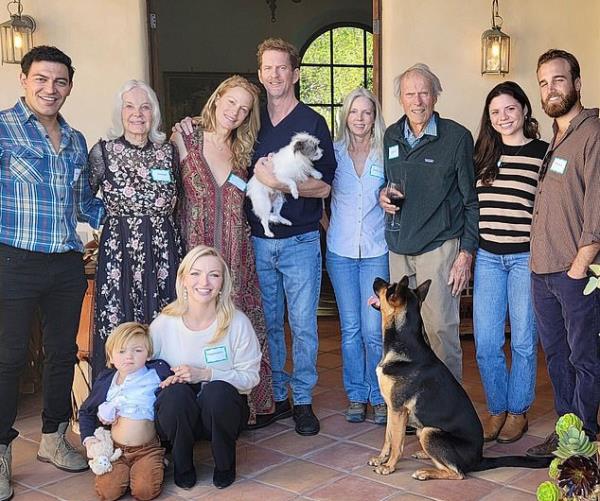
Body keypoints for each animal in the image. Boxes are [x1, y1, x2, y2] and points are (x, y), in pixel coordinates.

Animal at [368, 276, 552, 478]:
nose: (376, 278)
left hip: (429, 432)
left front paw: (389, 466)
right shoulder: (392, 408)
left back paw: (425, 472)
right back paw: (424, 455)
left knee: (457, 472)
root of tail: (479, 459)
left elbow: (396, 443)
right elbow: (388, 438)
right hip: (422, 429)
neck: (405, 344)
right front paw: (381, 459)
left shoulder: (398, 410)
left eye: (389, 288)